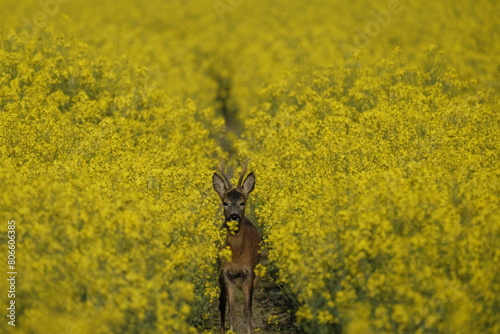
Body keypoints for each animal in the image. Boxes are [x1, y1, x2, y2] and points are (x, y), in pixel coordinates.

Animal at [212, 159, 262, 334]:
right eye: (225, 203)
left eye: (242, 202)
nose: (234, 216)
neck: (237, 255)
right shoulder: (227, 273)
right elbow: (231, 310)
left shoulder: (248, 272)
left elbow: (247, 310)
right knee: (221, 304)